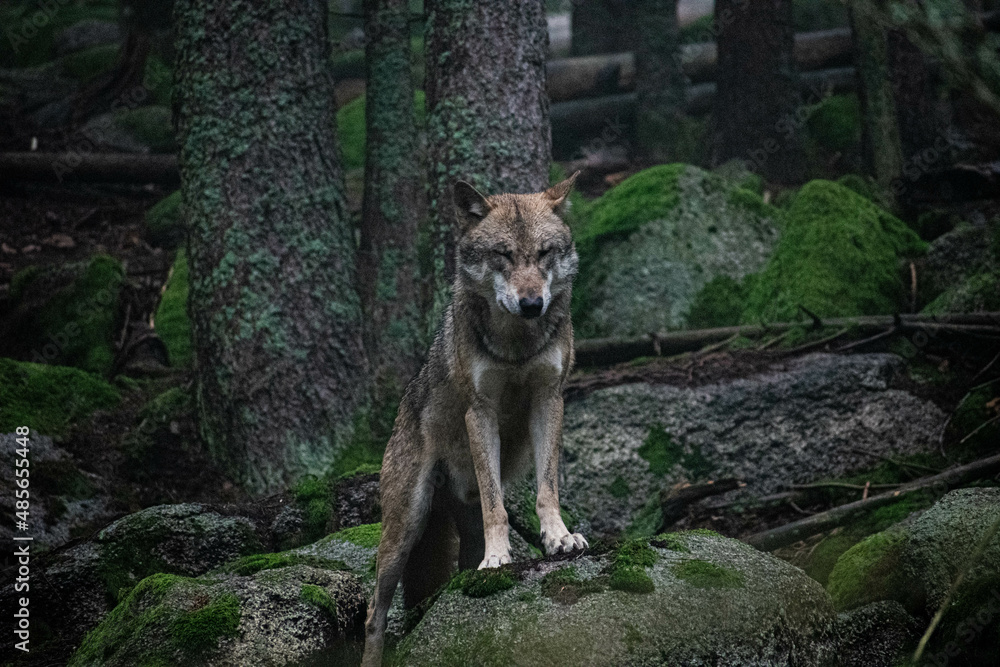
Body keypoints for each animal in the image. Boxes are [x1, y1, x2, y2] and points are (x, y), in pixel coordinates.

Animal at [360, 173, 587, 666]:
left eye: (544, 253)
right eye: (503, 254)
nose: (532, 303)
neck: (518, 344)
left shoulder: (549, 400)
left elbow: (547, 488)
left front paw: (559, 537)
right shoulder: (480, 410)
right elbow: (495, 504)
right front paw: (499, 559)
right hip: (405, 525)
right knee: (374, 613)